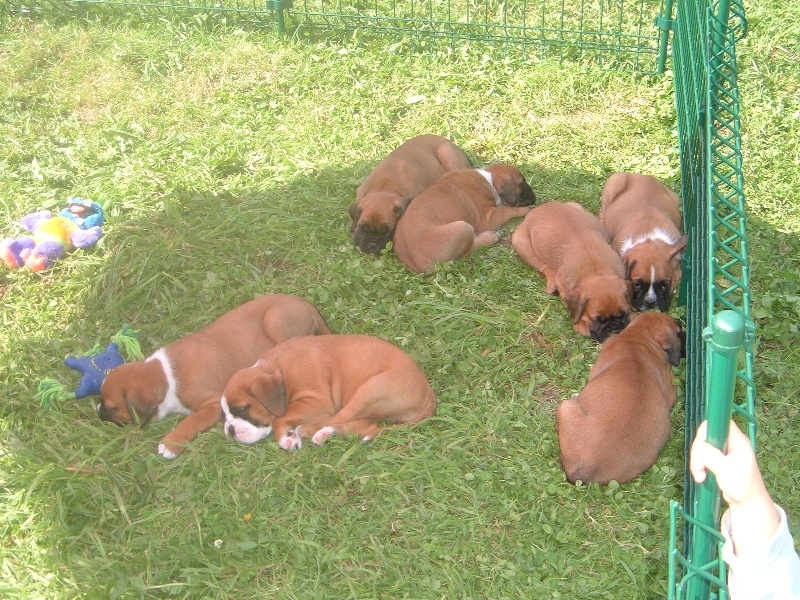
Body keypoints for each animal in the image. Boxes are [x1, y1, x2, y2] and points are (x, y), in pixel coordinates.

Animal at [97, 292, 332, 458]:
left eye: (112, 407)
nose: (98, 411)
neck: (163, 374)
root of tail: (306, 304)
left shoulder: (210, 405)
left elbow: (191, 421)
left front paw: (171, 443)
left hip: (275, 321)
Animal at [390, 163, 536, 274]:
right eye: (522, 184)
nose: (534, 198)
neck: (489, 180)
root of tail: (420, 263)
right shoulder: (487, 220)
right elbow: (507, 210)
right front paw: (524, 209)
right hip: (463, 228)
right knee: (468, 250)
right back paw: (490, 237)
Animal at [512, 202, 632, 342]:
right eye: (597, 319)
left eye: (623, 314)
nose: (614, 329)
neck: (595, 271)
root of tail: (538, 208)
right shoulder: (564, 286)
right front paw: (581, 325)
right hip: (521, 243)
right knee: (544, 266)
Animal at [600, 171, 688, 312]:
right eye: (637, 284)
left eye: (665, 285)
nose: (651, 302)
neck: (648, 237)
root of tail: (641, 175)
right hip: (614, 183)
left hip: (676, 199)